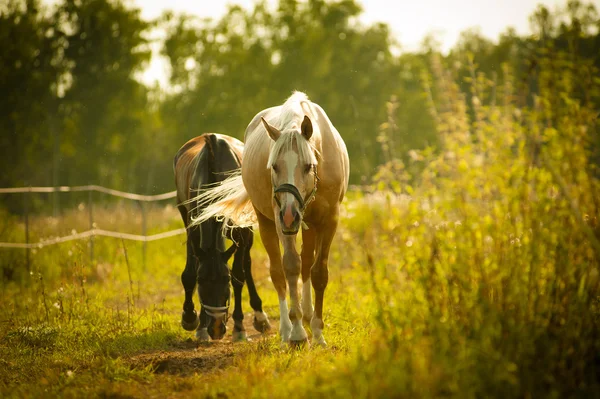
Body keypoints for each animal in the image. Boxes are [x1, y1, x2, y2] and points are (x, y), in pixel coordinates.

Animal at [171, 134, 270, 340]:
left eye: (226, 279)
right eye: (202, 281)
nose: (216, 328)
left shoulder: (242, 230)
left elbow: (239, 274)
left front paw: (239, 327)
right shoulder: (193, 225)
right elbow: (190, 272)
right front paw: (193, 319)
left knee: (247, 263)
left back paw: (260, 316)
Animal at [192, 91, 350, 346]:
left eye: (308, 166)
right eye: (274, 166)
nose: (289, 214)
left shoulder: (329, 220)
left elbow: (318, 272)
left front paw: (318, 333)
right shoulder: (281, 222)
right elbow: (291, 267)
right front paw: (297, 334)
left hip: (306, 223)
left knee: (307, 263)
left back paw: (307, 316)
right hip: (269, 222)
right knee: (278, 272)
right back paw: (287, 329)